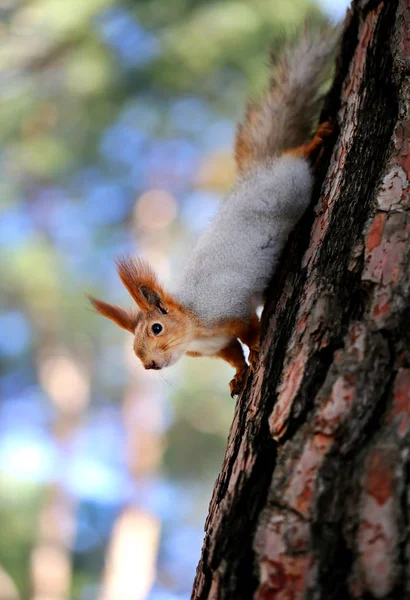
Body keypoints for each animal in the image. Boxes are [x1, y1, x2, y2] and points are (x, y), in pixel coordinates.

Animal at [89, 25, 340, 396]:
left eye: (156, 328)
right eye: (134, 344)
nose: (148, 365)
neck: (194, 325)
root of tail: (255, 172)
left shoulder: (229, 308)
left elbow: (250, 331)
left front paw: (259, 347)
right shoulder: (218, 345)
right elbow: (233, 355)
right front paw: (239, 374)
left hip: (289, 183)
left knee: (295, 157)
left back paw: (317, 140)